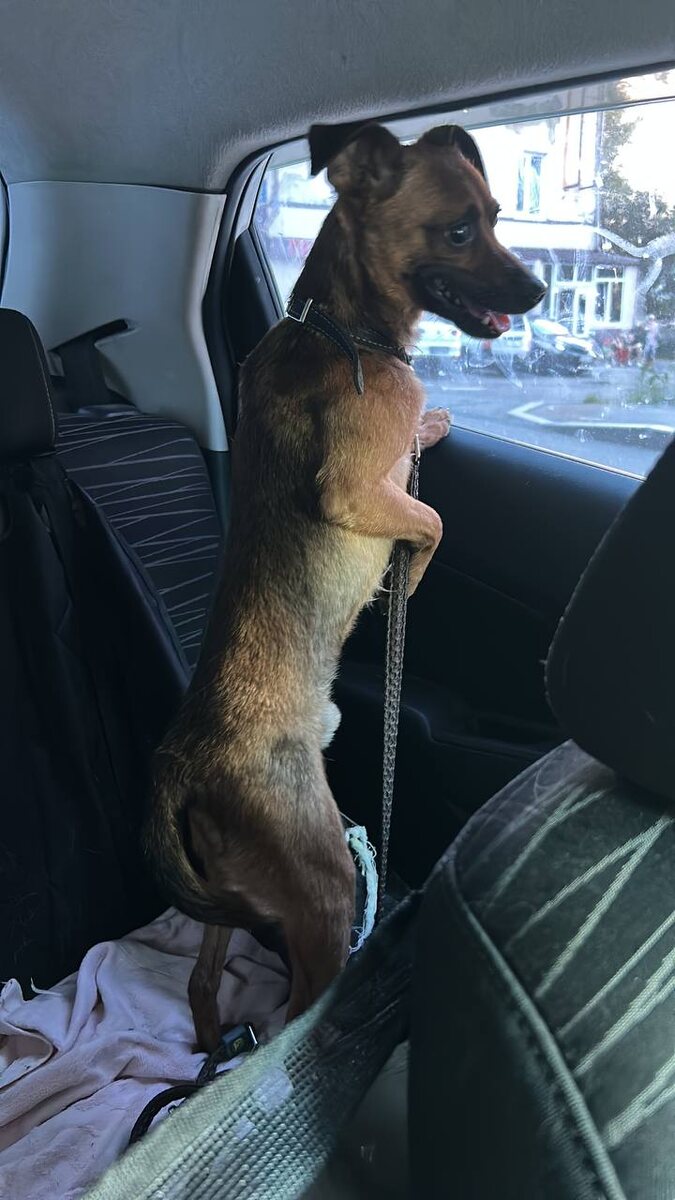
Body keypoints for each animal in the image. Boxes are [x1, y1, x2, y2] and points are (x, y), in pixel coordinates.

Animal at [145, 120, 546, 1052]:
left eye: (498, 214)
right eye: (460, 231)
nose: (541, 289)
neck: (342, 331)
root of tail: (183, 762)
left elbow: (423, 445)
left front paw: (435, 423)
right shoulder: (355, 491)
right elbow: (429, 518)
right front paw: (412, 576)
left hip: (243, 892)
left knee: (205, 983)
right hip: (322, 887)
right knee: (297, 1006)